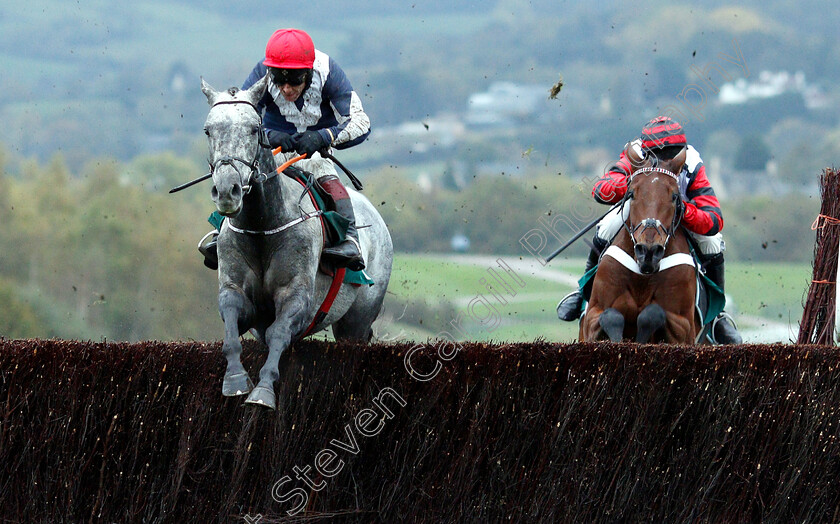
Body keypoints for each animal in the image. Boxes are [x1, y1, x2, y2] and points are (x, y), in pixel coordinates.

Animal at [201, 73, 394, 410]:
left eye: (254, 129)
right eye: (208, 130)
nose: (227, 191)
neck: (262, 226)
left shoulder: (297, 297)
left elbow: (279, 332)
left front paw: (263, 390)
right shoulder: (238, 294)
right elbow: (230, 324)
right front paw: (235, 379)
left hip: (357, 319)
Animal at [580, 148, 700, 344]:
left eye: (674, 196)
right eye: (632, 194)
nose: (649, 251)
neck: (643, 276)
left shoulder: (685, 327)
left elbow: (652, 314)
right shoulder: (592, 315)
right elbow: (610, 315)